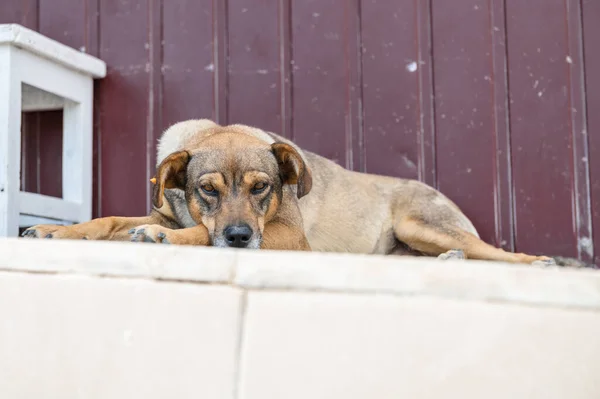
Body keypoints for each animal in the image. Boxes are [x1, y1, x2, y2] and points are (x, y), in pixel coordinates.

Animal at [21, 119, 568, 266]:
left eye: (262, 188)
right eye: (207, 190)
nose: (240, 238)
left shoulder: (288, 238)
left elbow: (193, 234)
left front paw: (165, 241)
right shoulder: (165, 211)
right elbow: (109, 220)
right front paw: (54, 230)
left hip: (420, 221)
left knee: (498, 252)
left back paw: (538, 262)